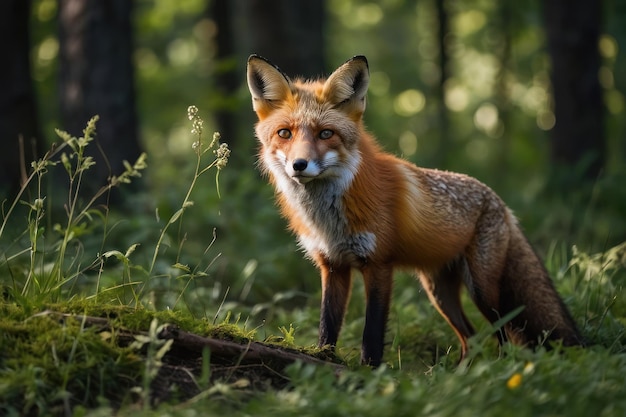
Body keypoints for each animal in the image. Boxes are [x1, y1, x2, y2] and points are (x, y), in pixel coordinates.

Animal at [244, 54, 580, 364]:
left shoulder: (379, 265)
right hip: (439, 292)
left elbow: (372, 333)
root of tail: (500, 202)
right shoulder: (333, 265)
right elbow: (328, 324)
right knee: (471, 338)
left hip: (482, 289)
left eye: (326, 133)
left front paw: (370, 373)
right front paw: (324, 359)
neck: (329, 219)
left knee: (502, 336)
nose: (299, 165)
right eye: (285, 133)